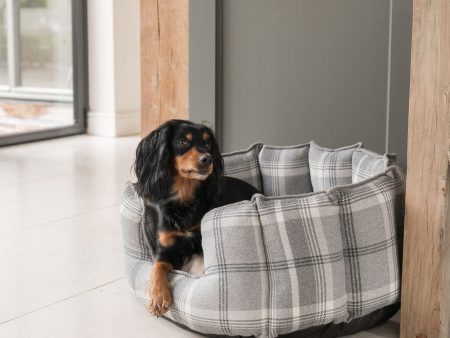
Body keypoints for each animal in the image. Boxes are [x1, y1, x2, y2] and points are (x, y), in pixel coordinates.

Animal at [133, 119, 260, 316]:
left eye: (207, 143)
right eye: (182, 142)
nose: (207, 159)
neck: (184, 199)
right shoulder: (166, 247)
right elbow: (157, 266)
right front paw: (159, 297)